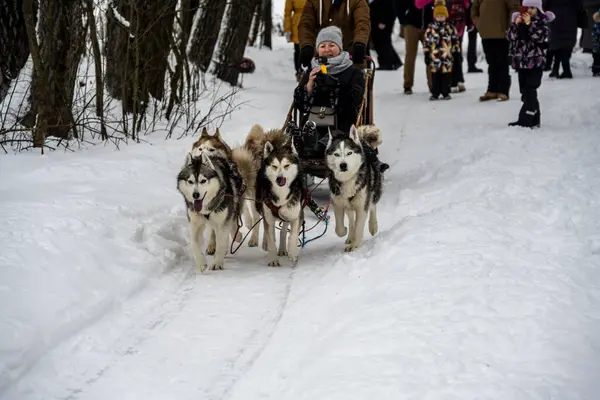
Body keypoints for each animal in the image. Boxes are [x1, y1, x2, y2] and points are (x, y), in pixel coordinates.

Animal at [326, 123, 382, 252]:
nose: (343, 165)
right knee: (351, 219)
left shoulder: (362, 206)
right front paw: (346, 233)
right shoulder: (338, 204)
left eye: (349, 153)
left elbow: (359, 226)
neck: (347, 179)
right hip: (348, 206)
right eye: (336, 154)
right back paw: (350, 236)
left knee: (373, 206)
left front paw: (355, 245)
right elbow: (339, 229)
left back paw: (373, 226)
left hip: (373, 191)